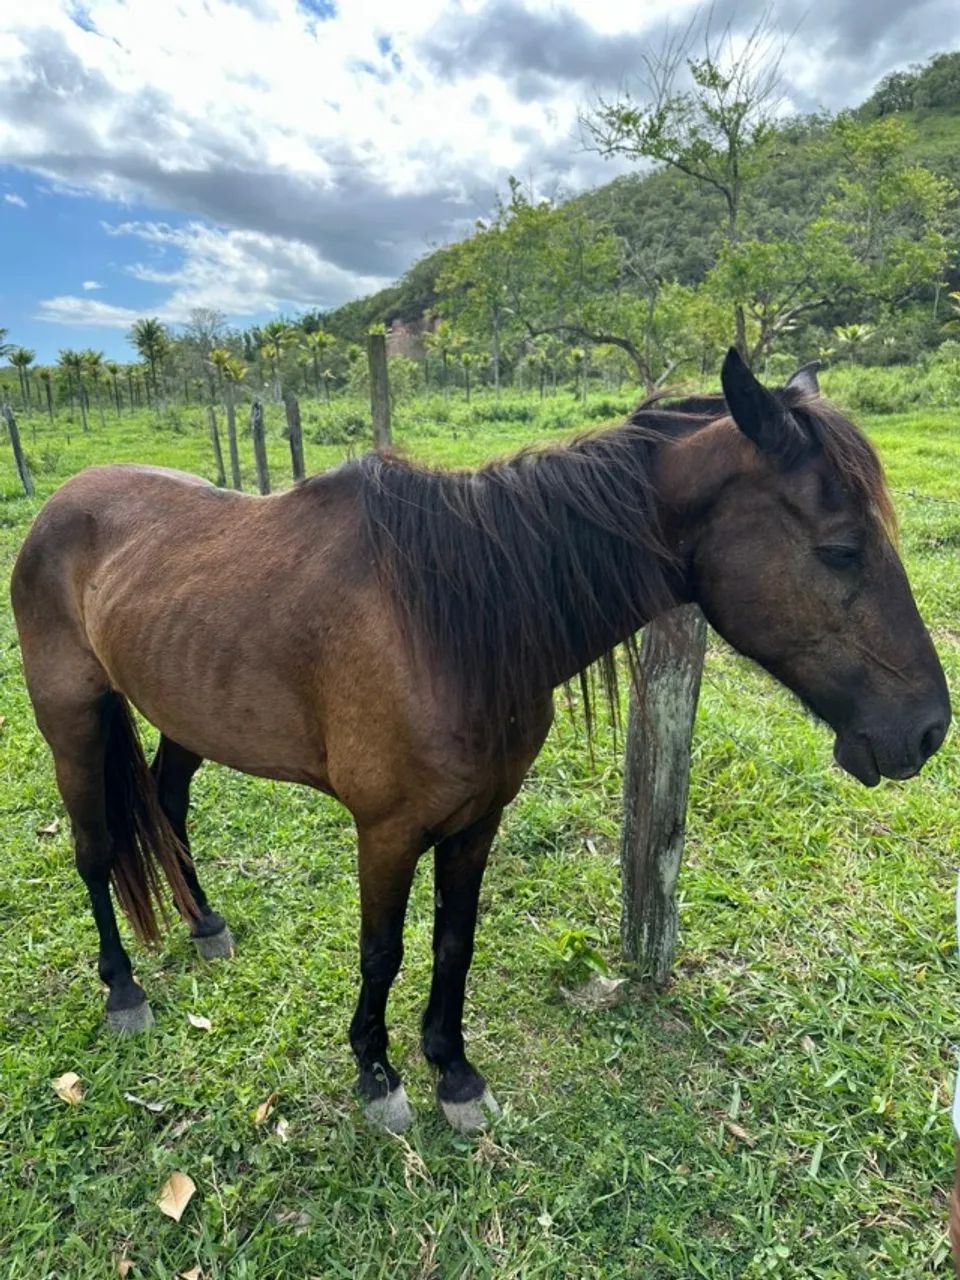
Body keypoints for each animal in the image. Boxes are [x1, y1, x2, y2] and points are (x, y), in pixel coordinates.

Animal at [10, 349, 949, 1135]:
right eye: (840, 550)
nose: (928, 729)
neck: (450, 623)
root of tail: (61, 504)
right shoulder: (386, 831)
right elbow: (382, 951)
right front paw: (378, 1075)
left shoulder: (478, 818)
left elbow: (452, 943)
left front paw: (453, 1073)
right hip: (70, 717)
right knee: (95, 848)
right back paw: (123, 990)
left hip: (184, 714)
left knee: (168, 809)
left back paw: (205, 923)